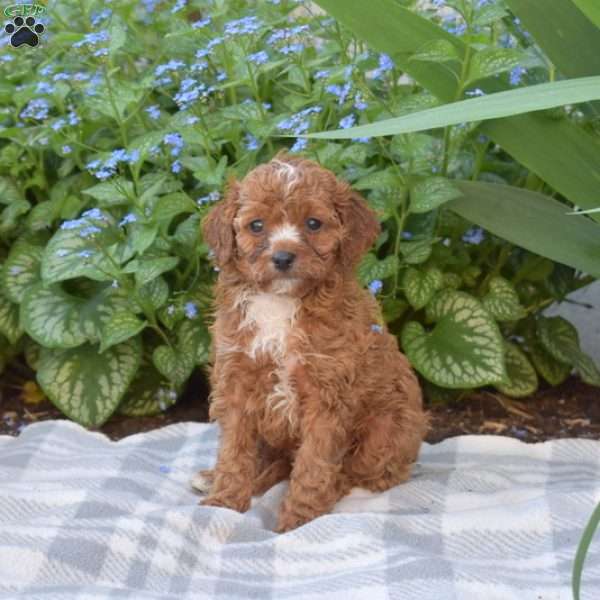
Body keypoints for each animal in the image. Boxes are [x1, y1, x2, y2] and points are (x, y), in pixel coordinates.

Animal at [192, 154, 426, 528]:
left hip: (386, 430)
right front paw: (224, 501)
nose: (283, 258)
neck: (281, 301)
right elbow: (234, 450)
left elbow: (315, 463)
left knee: (364, 473)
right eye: (256, 226)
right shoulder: (236, 378)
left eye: (314, 223)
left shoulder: (326, 392)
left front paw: (299, 519)